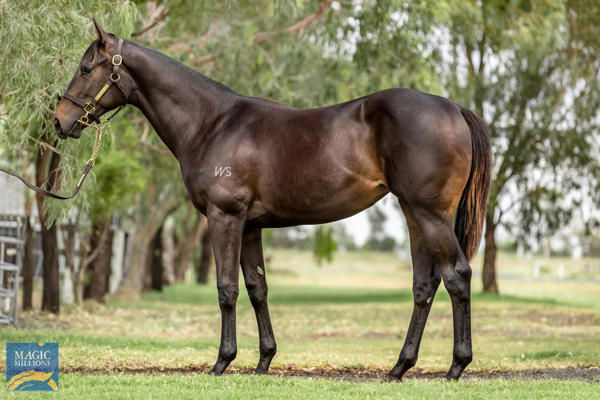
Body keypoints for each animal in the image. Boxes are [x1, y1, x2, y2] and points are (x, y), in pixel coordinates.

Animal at [54, 19, 490, 382]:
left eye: (86, 68)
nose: (59, 121)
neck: (212, 123)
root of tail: (453, 107)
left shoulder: (224, 217)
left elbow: (227, 288)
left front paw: (222, 361)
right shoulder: (250, 226)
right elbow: (256, 287)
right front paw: (264, 360)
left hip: (430, 214)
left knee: (457, 276)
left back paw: (456, 366)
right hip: (414, 214)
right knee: (424, 285)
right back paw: (400, 367)